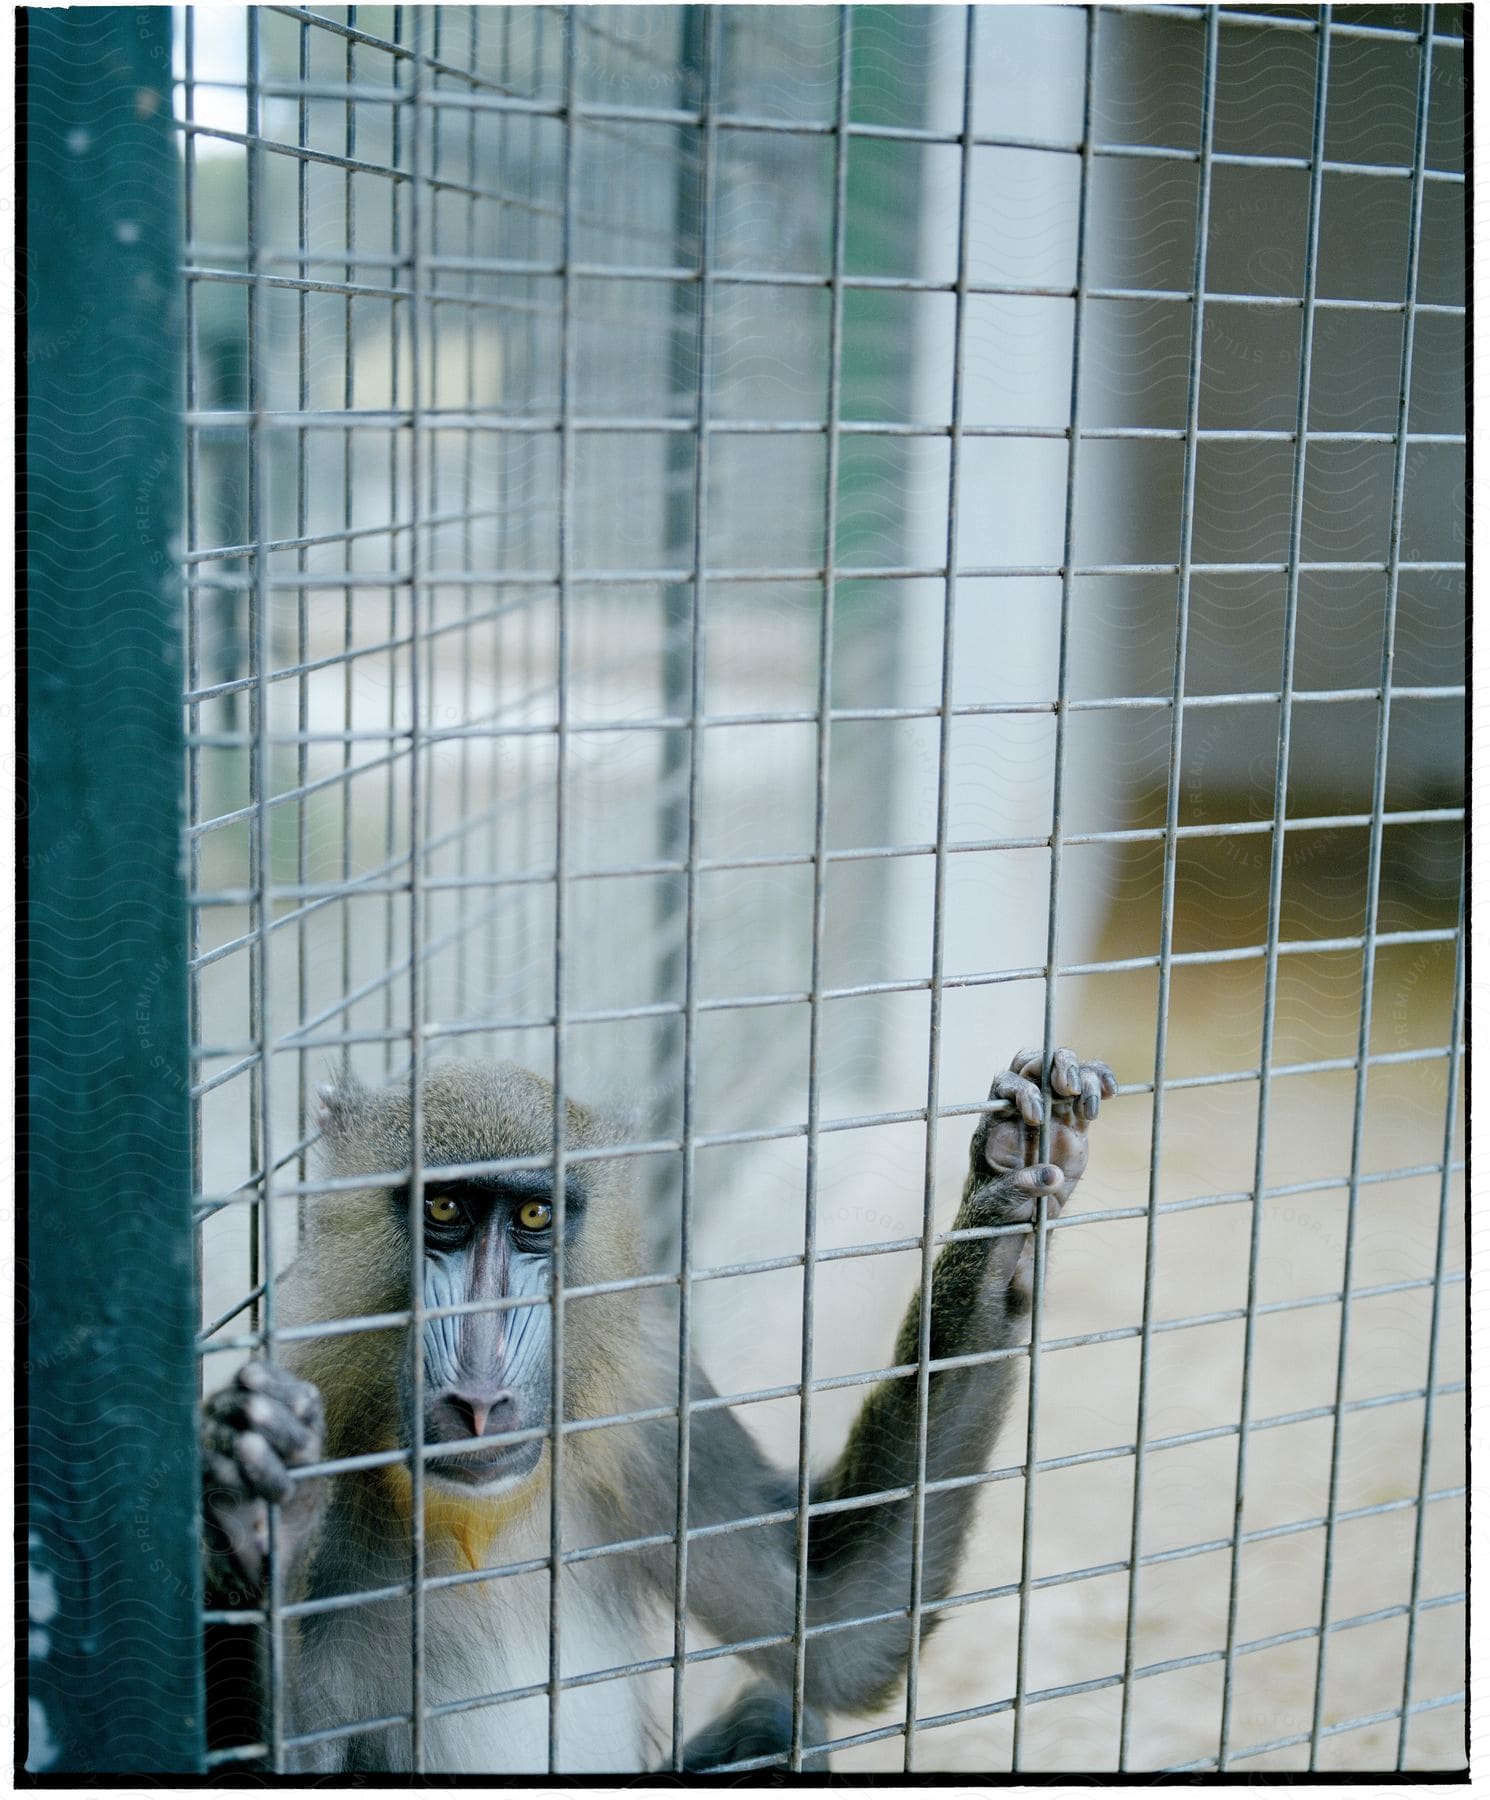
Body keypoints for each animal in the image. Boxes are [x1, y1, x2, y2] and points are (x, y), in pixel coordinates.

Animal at [197, 1044, 1108, 1771]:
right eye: (444, 1210)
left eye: (534, 1215)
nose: (482, 1397)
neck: (473, 1519)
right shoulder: (306, 1372)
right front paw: (254, 1517)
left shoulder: (652, 1400)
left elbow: (836, 1626)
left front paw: (1012, 1185)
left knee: (778, 1719)